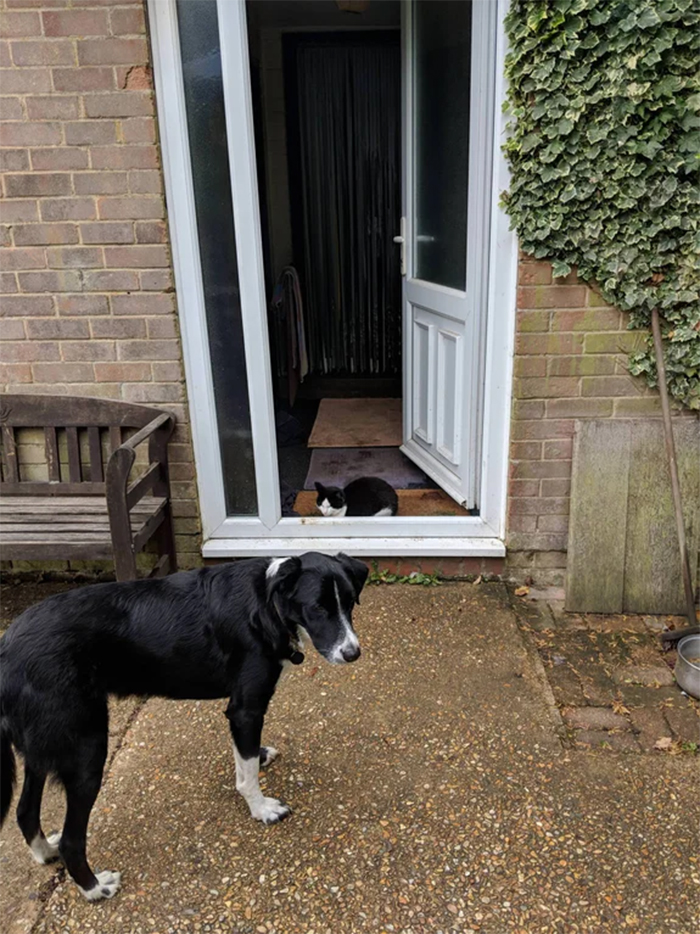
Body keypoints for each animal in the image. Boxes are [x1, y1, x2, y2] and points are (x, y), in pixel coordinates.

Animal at [0, 552, 370, 904]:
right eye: (317, 608)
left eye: (351, 602)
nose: (352, 653)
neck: (268, 604)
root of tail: (6, 654)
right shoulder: (245, 710)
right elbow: (247, 773)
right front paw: (261, 809)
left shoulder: (239, 713)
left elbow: (245, 757)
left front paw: (258, 758)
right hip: (87, 751)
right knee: (72, 840)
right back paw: (94, 888)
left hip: (43, 750)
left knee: (24, 811)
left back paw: (46, 852)